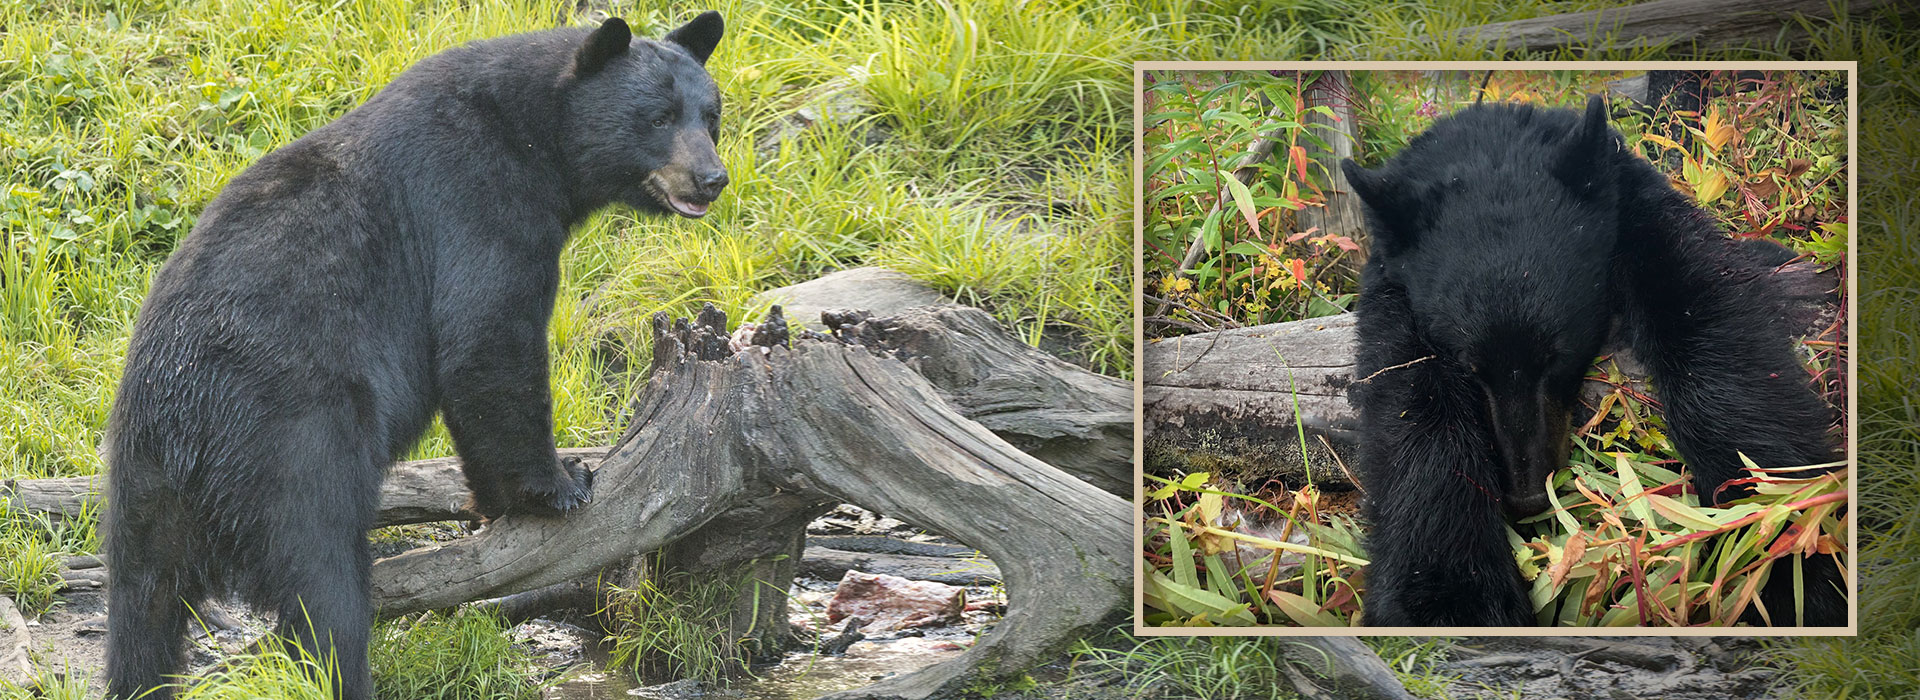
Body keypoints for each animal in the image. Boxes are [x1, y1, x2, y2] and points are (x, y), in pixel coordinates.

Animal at [102, 13, 728, 699]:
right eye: (659, 117)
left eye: (711, 115)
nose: (712, 178)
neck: (537, 136)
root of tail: (180, 428)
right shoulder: (477, 199)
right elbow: (488, 339)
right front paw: (562, 484)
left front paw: (497, 505)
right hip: (290, 442)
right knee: (322, 584)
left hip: (141, 495)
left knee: (143, 612)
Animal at [1341, 95, 1846, 627]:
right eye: (1470, 367)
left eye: (1556, 358)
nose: (1527, 496)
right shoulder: (1391, 282)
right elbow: (1407, 393)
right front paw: (1449, 596)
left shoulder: (1637, 209)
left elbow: (1710, 317)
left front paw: (1782, 537)